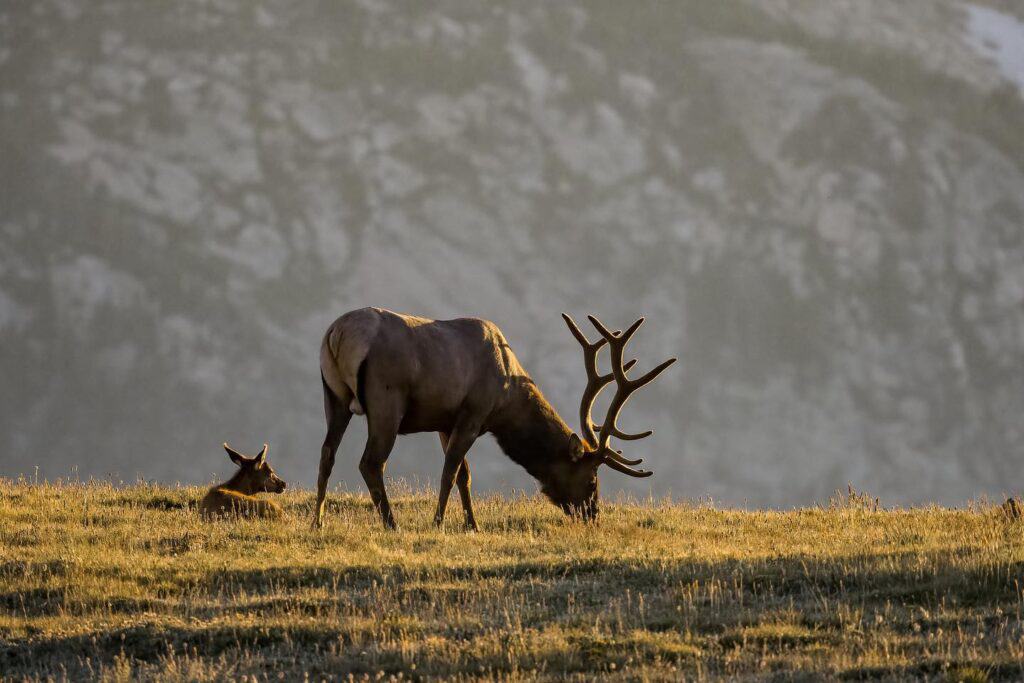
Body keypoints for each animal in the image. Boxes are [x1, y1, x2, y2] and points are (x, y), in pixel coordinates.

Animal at [312, 307, 676, 531]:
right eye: (591, 479)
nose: (592, 514)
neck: (507, 397)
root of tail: (337, 334)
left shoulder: (445, 421)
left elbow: (464, 475)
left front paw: (472, 525)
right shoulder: (474, 412)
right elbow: (451, 471)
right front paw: (438, 523)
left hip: (333, 396)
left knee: (327, 453)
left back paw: (317, 521)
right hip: (387, 399)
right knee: (371, 462)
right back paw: (392, 524)